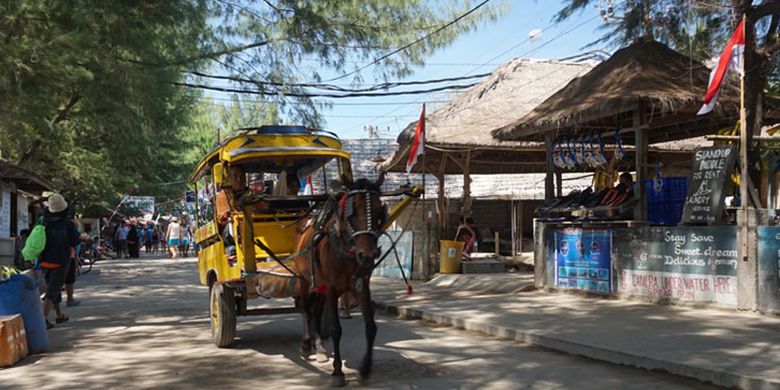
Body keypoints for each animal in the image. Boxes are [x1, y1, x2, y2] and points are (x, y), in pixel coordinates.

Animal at [290, 174, 386, 386]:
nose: (367, 256)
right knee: (306, 309)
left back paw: (320, 348)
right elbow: (336, 329)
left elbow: (371, 327)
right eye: (351, 210)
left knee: (316, 311)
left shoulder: (361, 287)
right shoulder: (333, 288)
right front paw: (338, 371)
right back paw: (306, 344)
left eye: (379, 210)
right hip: (304, 280)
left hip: (321, 287)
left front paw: (365, 368)